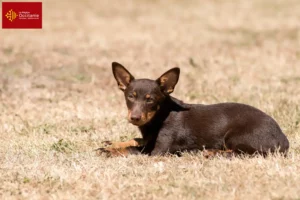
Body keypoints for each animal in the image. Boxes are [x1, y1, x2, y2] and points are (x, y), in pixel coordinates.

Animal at [97, 61, 290, 157]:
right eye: (130, 96)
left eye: (150, 99)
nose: (135, 118)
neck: (159, 117)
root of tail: (284, 139)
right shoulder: (148, 139)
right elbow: (135, 140)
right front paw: (112, 143)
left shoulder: (158, 151)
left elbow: (132, 149)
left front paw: (109, 151)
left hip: (235, 136)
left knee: (245, 153)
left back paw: (210, 152)